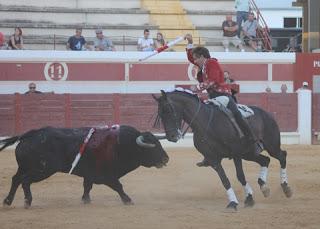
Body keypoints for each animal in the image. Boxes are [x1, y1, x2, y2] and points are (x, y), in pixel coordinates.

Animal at [0, 124, 169, 208]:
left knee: (16, 179)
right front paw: (128, 200)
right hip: (43, 170)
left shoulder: (90, 174)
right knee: (25, 181)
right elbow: (118, 186)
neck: (123, 145)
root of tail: (28, 135)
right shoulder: (107, 176)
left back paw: (7, 201)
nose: (166, 158)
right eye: (153, 147)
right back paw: (27, 202)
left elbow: (87, 186)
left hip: (24, 167)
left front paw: (85, 200)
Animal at [153, 88, 292, 210]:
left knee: (282, 156)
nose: (171, 137)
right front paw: (233, 203)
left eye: (169, 109)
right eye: (160, 114)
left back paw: (286, 187)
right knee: (265, 160)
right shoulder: (213, 159)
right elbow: (225, 180)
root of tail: (266, 113)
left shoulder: (236, 153)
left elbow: (240, 176)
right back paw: (264, 187)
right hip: (248, 153)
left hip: (271, 146)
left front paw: (249, 198)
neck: (206, 123)